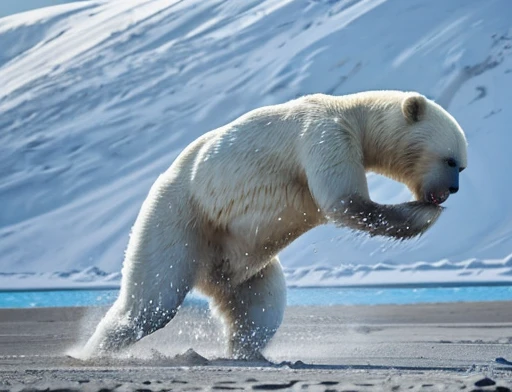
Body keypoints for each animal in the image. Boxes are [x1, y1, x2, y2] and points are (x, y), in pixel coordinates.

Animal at [83, 90, 468, 360]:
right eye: (450, 160)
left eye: (461, 166)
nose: (452, 190)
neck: (354, 114)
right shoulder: (325, 137)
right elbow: (343, 201)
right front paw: (420, 213)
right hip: (182, 215)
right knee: (153, 301)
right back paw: (90, 351)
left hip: (241, 260)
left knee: (261, 307)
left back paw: (246, 352)